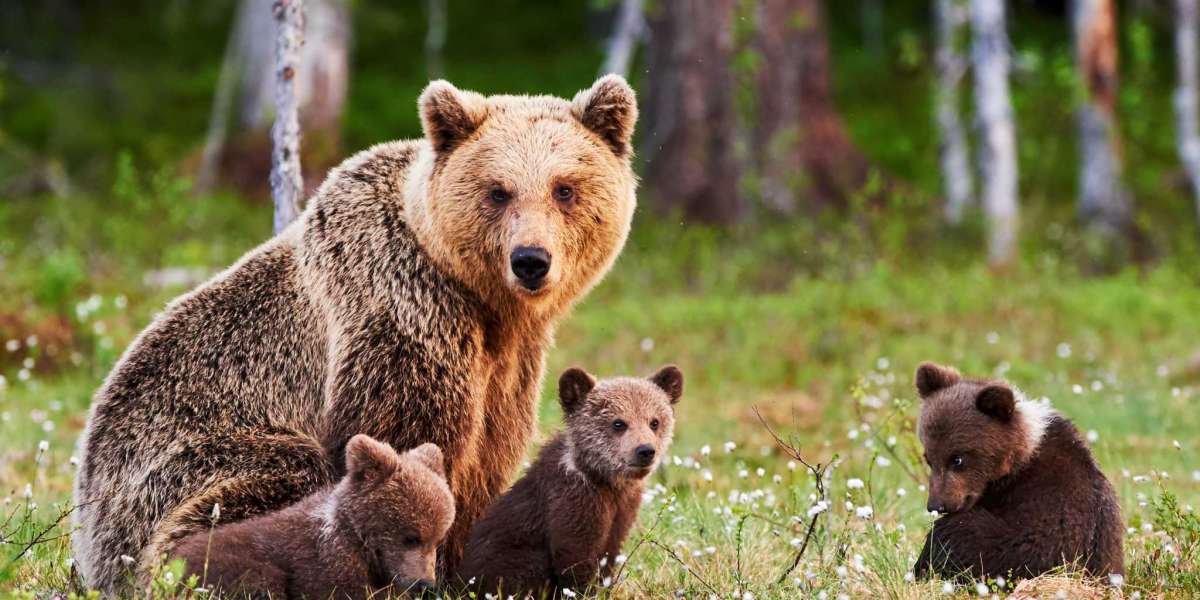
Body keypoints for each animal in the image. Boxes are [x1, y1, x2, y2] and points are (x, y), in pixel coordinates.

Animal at [72, 73, 638, 590]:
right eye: (498, 191)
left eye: (564, 188)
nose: (530, 261)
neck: (481, 301)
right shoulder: (401, 312)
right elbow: (405, 442)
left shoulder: (509, 363)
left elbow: (487, 458)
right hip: (175, 467)